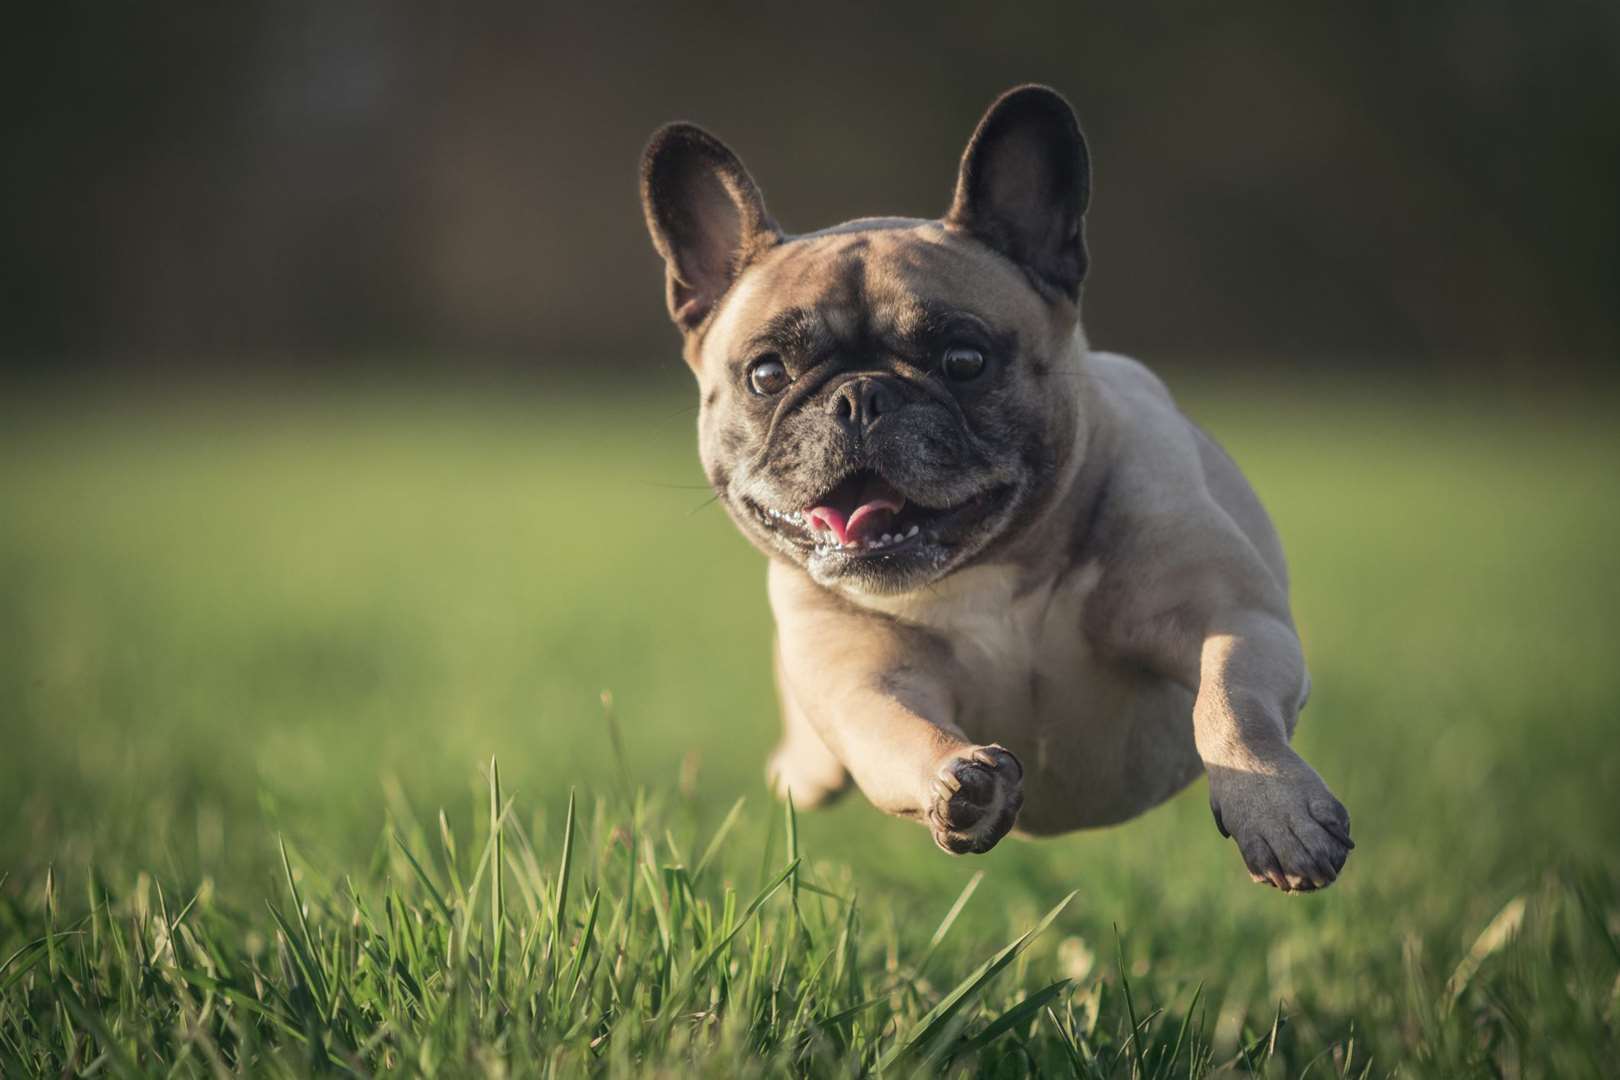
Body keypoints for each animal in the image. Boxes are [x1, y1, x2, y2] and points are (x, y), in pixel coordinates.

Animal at [638, 86, 1347, 893]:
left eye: (964, 360)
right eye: (765, 375)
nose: (859, 397)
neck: (991, 571)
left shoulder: (1234, 618)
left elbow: (1234, 702)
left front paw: (1278, 811)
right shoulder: (864, 681)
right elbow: (897, 729)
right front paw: (959, 780)